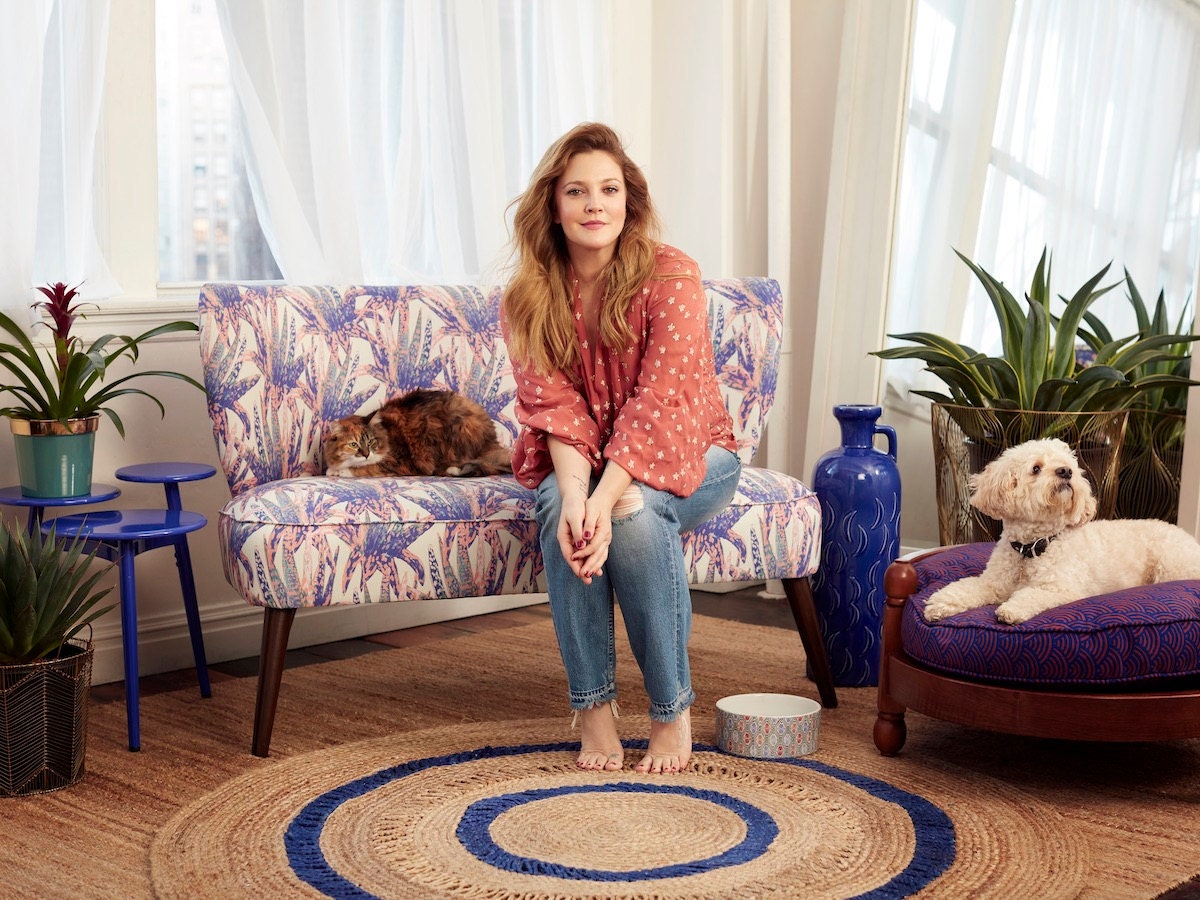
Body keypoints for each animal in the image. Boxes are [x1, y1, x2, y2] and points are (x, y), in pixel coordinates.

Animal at [326, 388, 513, 480]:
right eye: (353, 444)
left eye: (371, 442)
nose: (365, 454)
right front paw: (333, 470)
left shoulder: (400, 462)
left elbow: (368, 467)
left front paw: (342, 471)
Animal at [926, 439, 1200, 628]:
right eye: (1036, 468)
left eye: (1069, 467)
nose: (1065, 472)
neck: (1032, 547)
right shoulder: (993, 583)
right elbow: (966, 587)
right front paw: (939, 603)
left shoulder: (1061, 590)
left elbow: (1029, 594)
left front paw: (1011, 609)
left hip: (1171, 567)